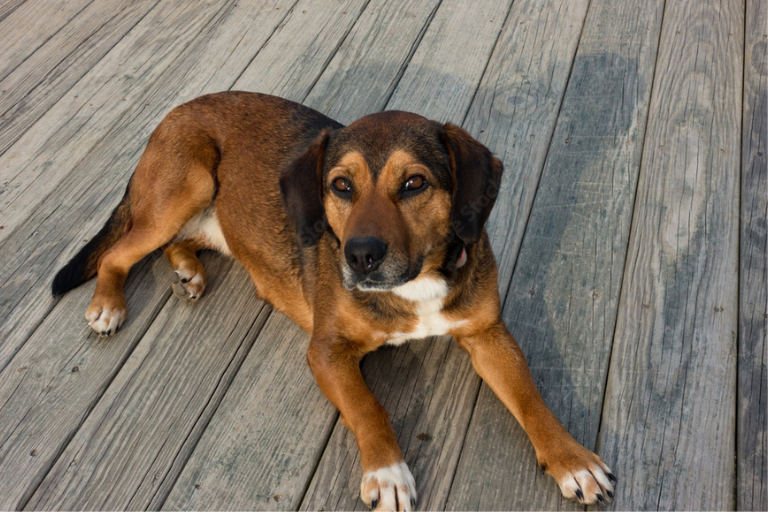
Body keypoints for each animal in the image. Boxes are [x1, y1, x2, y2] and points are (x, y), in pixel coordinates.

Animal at [53, 91, 615, 510]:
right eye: (341, 186)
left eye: (415, 183)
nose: (360, 255)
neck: (414, 283)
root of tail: (179, 108)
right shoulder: (326, 351)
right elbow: (369, 407)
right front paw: (388, 473)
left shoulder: (488, 334)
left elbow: (531, 399)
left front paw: (572, 459)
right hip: (186, 186)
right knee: (118, 253)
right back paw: (108, 304)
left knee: (178, 241)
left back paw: (188, 270)